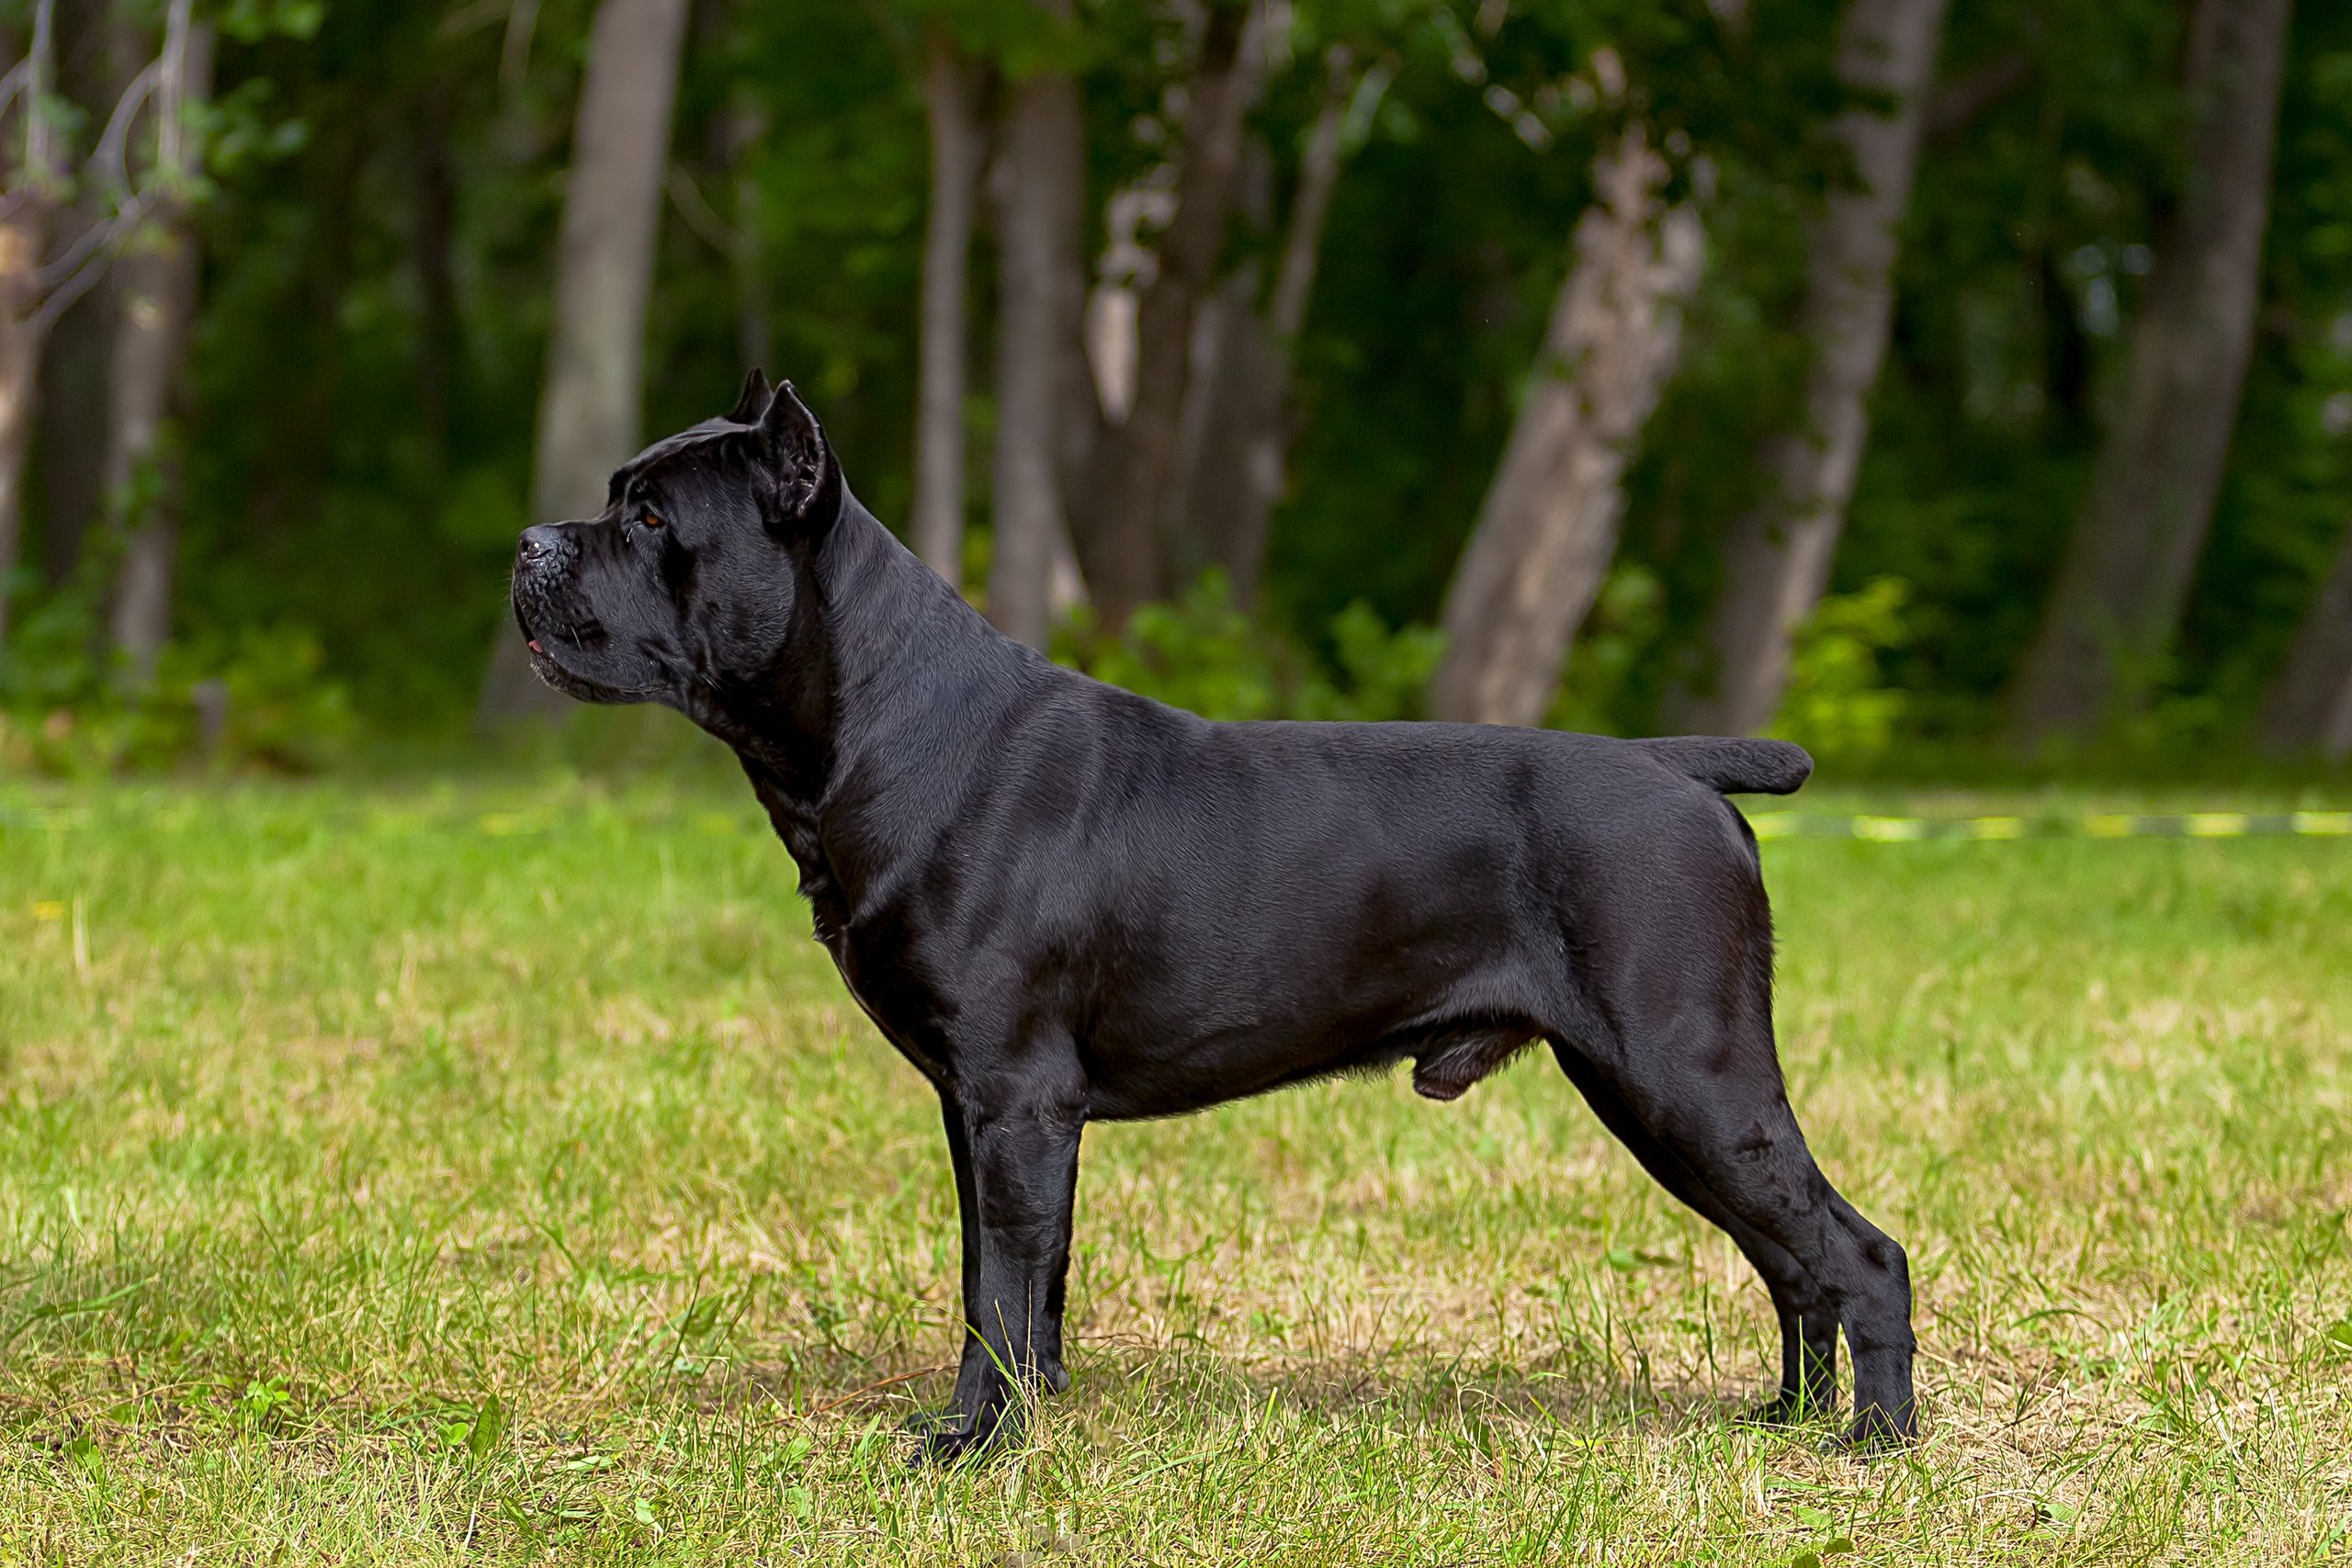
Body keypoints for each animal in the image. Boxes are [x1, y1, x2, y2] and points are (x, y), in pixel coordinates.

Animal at [510, 376, 1909, 1457]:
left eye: (651, 516)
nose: (530, 543)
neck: (886, 722)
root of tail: (1678, 767)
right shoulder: (985, 1112)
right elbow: (1014, 1277)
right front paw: (1031, 1414)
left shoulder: (1014, 1095)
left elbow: (998, 1287)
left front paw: (972, 1444)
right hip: (1668, 1097)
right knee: (1792, 1259)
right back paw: (1788, 1420)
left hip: (1685, 1075)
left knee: (1856, 1252)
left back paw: (1874, 1443)